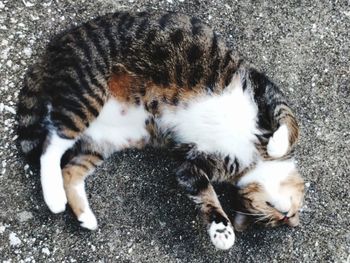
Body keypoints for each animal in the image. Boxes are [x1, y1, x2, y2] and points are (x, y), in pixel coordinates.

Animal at [17, 11, 304, 251]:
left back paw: (84, 214)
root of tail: (62, 40)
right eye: (273, 215)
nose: (285, 215)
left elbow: (204, 193)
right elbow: (289, 121)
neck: (255, 158)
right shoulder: (264, 89)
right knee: (50, 145)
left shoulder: (193, 166)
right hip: (86, 94)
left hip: (103, 140)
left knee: (70, 169)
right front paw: (223, 230)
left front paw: (221, 228)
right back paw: (54, 197)